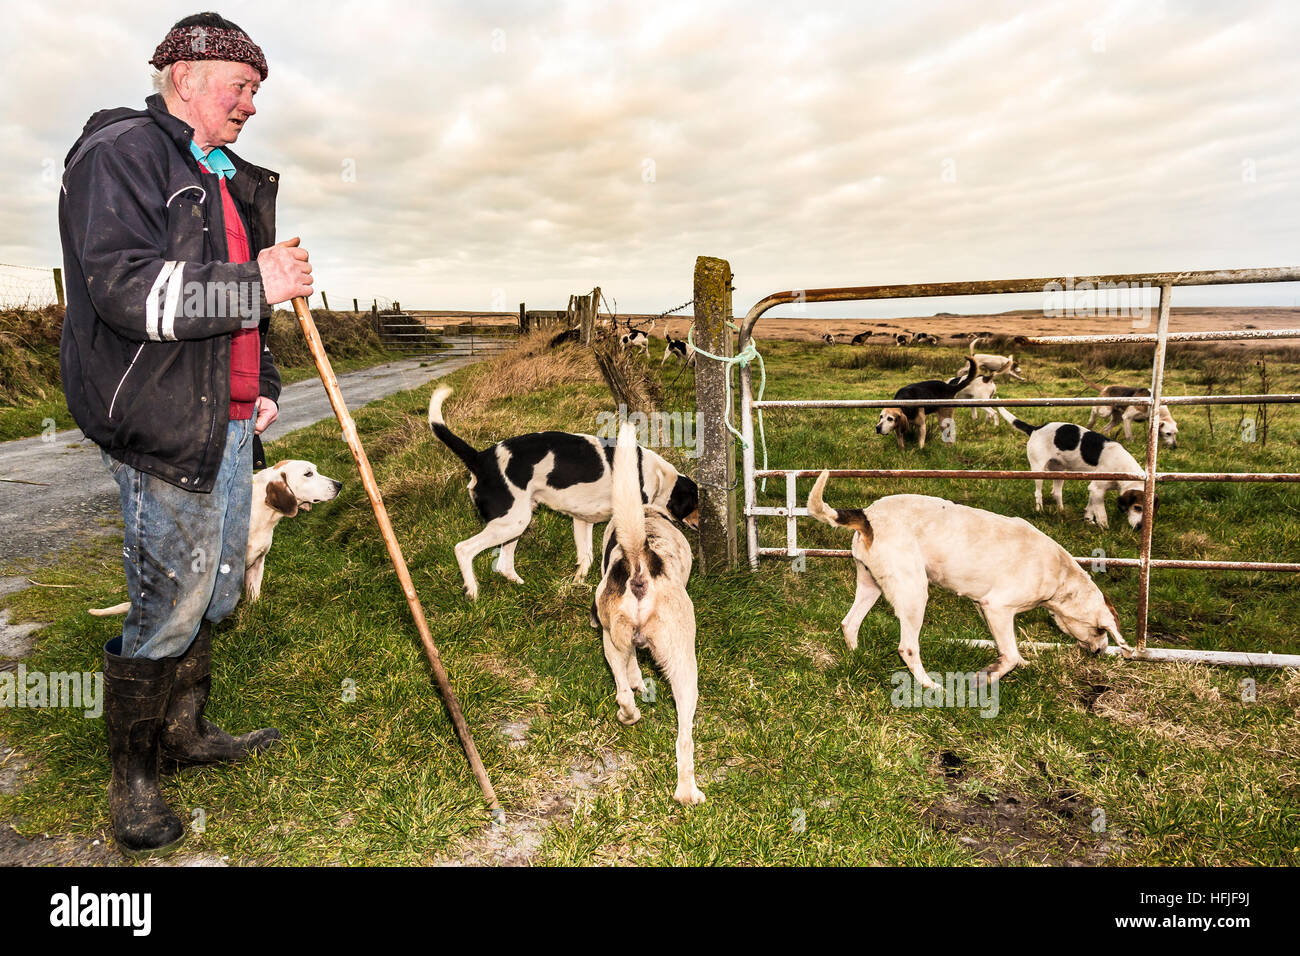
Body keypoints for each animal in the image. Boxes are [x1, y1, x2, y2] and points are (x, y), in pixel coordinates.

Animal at [431, 387, 702, 598]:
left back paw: (520, 586)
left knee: (504, 565)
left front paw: (577, 583)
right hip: (510, 523)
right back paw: (472, 591)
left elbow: (586, 557)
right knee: (463, 549)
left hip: (516, 523)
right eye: (696, 502)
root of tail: (479, 458)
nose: (703, 524)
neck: (657, 474)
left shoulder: (582, 520)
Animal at [595, 421, 707, 806]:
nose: (703, 520)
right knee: (685, 737)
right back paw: (689, 794)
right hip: (685, 665)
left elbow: (629, 674)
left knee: (623, 693)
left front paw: (636, 681)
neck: (648, 512)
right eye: (694, 500)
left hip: (610, 641)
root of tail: (641, 560)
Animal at [800, 473, 1128, 686]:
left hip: (872, 586)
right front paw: (988, 676)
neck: (1060, 575)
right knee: (908, 647)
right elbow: (1009, 655)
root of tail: (869, 515)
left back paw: (857, 657)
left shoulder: (985, 609)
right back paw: (929, 685)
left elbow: (1009, 649)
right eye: (1101, 630)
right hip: (914, 594)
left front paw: (1018, 663)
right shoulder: (997, 607)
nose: (1101, 652)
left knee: (850, 623)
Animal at [998, 408, 1154, 530]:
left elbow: (1091, 507)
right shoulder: (1097, 488)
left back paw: (1061, 511)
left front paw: (1088, 521)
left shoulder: (1094, 489)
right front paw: (1104, 529)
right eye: (1137, 507)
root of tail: (1036, 428)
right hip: (1038, 470)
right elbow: (1101, 513)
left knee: (1056, 493)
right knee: (1038, 493)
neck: (1124, 468)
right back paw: (1039, 510)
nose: (1140, 527)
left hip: (1059, 471)